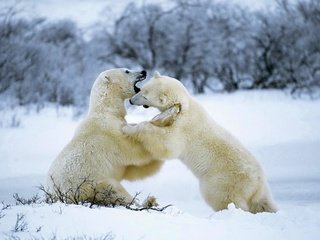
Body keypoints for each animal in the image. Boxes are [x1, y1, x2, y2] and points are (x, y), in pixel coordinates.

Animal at [46, 68, 164, 204]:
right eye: (127, 71)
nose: (143, 71)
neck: (106, 110)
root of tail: (53, 195)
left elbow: (133, 169)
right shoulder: (110, 133)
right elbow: (134, 151)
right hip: (88, 185)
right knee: (113, 190)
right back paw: (147, 201)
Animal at [122, 71, 278, 214]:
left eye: (145, 96)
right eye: (142, 89)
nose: (131, 101)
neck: (185, 105)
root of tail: (258, 183)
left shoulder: (183, 128)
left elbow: (167, 144)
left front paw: (129, 128)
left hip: (224, 180)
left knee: (223, 198)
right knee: (262, 202)